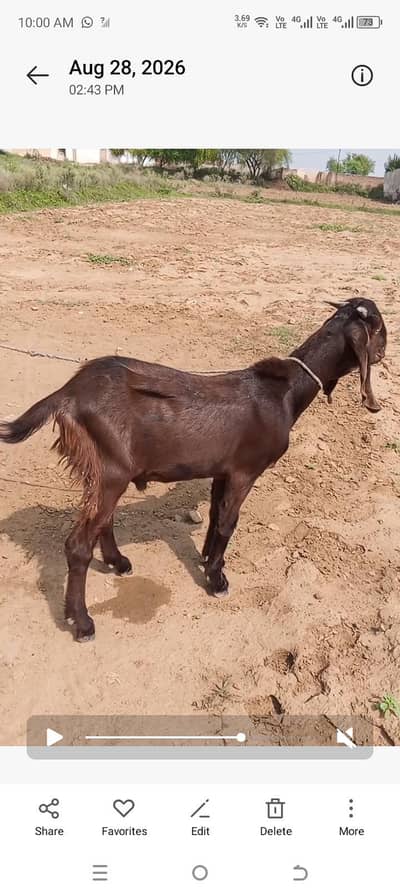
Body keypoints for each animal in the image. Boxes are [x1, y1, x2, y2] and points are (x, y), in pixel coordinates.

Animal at [0, 297, 386, 641]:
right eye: (380, 329)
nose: (383, 352)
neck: (284, 392)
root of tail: (69, 393)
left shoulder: (222, 471)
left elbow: (216, 515)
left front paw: (205, 559)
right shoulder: (245, 471)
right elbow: (229, 523)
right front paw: (217, 580)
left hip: (104, 472)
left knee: (101, 521)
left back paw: (117, 562)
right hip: (111, 469)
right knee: (78, 544)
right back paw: (81, 622)